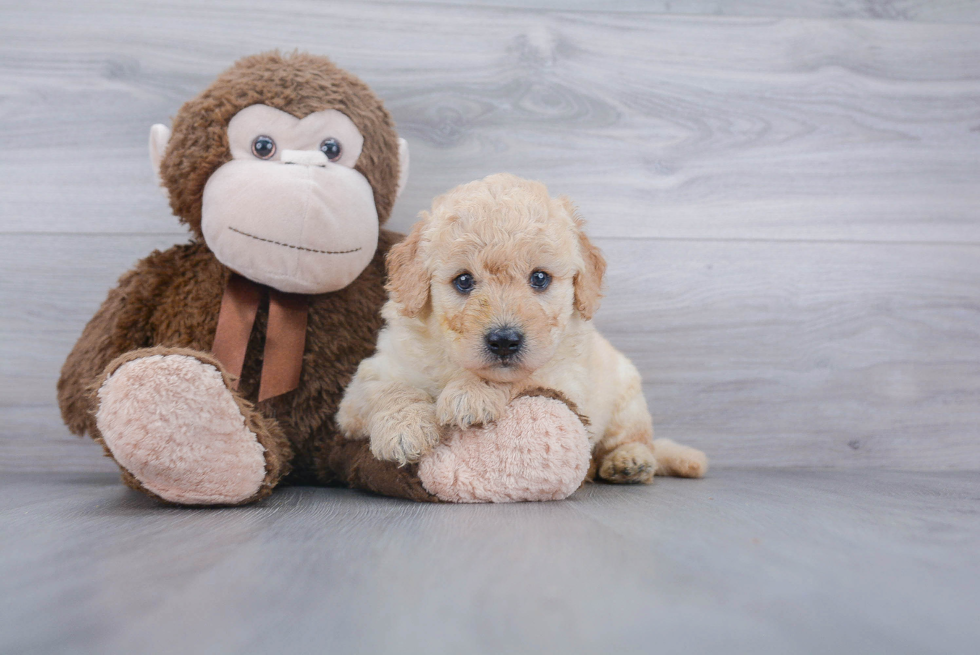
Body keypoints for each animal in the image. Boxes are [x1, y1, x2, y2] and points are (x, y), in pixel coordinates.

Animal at [336, 173, 704, 482]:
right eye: (464, 281)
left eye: (539, 278)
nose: (504, 341)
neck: (453, 363)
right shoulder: (362, 387)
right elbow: (390, 389)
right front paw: (403, 430)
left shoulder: (565, 381)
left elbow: (522, 377)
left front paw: (472, 393)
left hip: (627, 402)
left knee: (638, 441)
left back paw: (629, 461)